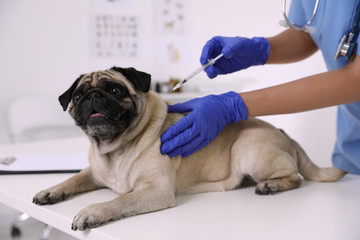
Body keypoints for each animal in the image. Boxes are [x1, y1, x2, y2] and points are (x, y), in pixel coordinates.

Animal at [33, 67, 346, 231]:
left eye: (114, 90)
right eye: (77, 97)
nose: (92, 97)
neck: (114, 150)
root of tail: (286, 135)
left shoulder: (155, 189)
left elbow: (119, 201)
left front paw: (93, 211)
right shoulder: (94, 173)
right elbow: (73, 178)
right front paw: (51, 191)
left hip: (249, 151)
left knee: (295, 177)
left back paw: (270, 185)